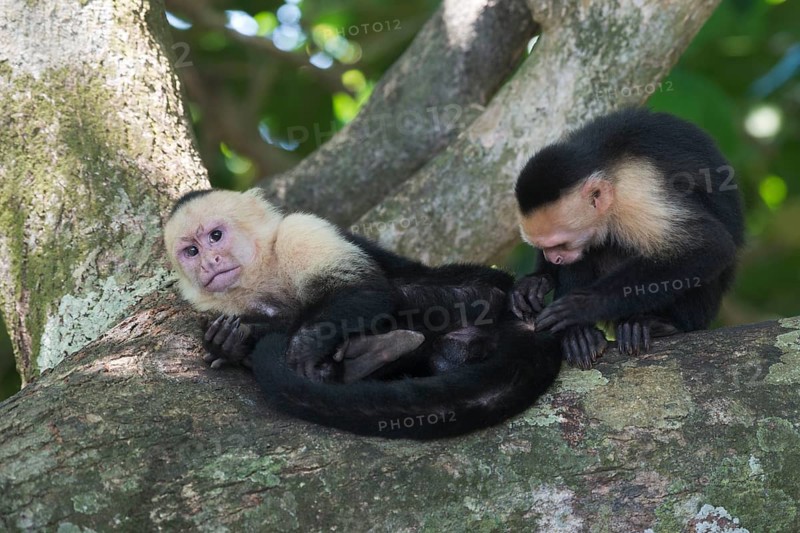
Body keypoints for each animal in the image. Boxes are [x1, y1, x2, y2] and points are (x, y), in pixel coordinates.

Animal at [164, 188, 561, 438]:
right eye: (191, 251)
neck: (262, 275)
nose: (210, 262)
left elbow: (364, 289)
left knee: (405, 291)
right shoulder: (215, 303)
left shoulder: (299, 232)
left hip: (478, 295)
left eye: (216, 236)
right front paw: (229, 341)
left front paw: (301, 345)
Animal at [510, 107, 744, 369]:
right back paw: (579, 336)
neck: (603, 163)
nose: (554, 259)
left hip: (702, 309)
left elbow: (711, 244)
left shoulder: (635, 195)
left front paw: (583, 305)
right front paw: (535, 282)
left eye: (561, 244)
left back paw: (659, 324)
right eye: (543, 247)